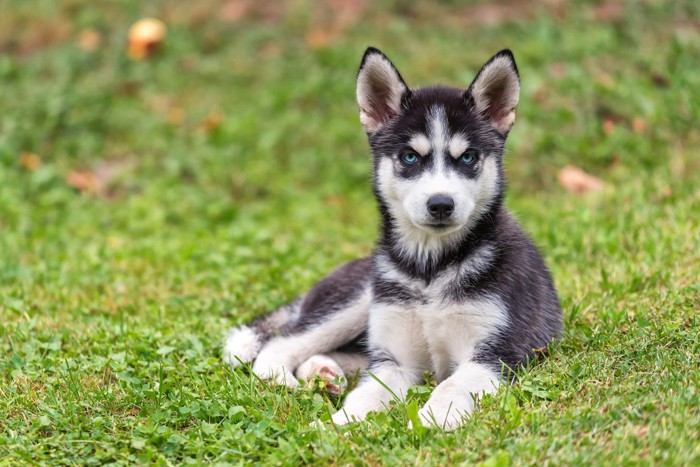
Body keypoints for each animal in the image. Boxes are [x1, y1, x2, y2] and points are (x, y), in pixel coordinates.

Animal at [224, 47, 564, 432]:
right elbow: (364, 397)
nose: (441, 204)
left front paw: (433, 418)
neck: (430, 269)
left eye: (467, 157)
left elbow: (451, 383)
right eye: (409, 157)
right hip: (357, 301)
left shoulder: (496, 353)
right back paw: (287, 377)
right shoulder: (395, 361)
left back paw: (324, 372)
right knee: (280, 345)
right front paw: (334, 428)